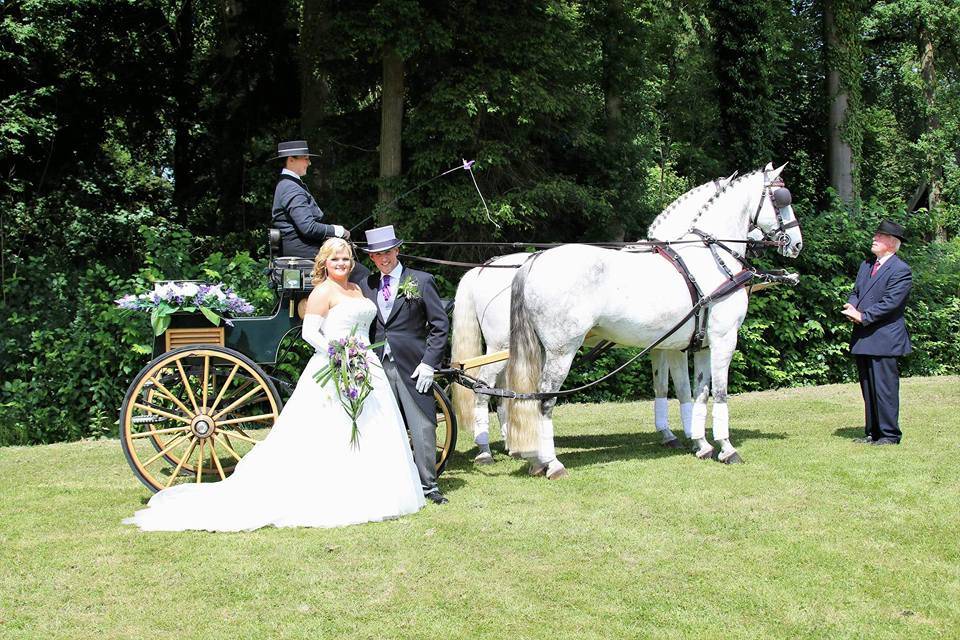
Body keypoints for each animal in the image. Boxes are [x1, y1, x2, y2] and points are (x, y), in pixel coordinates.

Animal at [450, 178, 736, 462]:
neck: (692, 263)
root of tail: (486, 267)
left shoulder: (669, 345)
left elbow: (671, 388)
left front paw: (683, 436)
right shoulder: (704, 341)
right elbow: (698, 390)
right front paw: (712, 443)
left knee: (502, 392)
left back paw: (514, 445)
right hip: (505, 347)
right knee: (486, 389)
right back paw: (490, 450)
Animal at [506, 162, 800, 478]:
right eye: (782, 199)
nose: (797, 243)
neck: (714, 258)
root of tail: (534, 260)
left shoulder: (694, 345)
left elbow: (696, 392)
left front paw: (701, 444)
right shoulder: (724, 339)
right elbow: (719, 393)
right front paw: (726, 447)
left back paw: (537, 460)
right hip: (562, 351)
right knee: (545, 399)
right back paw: (552, 463)